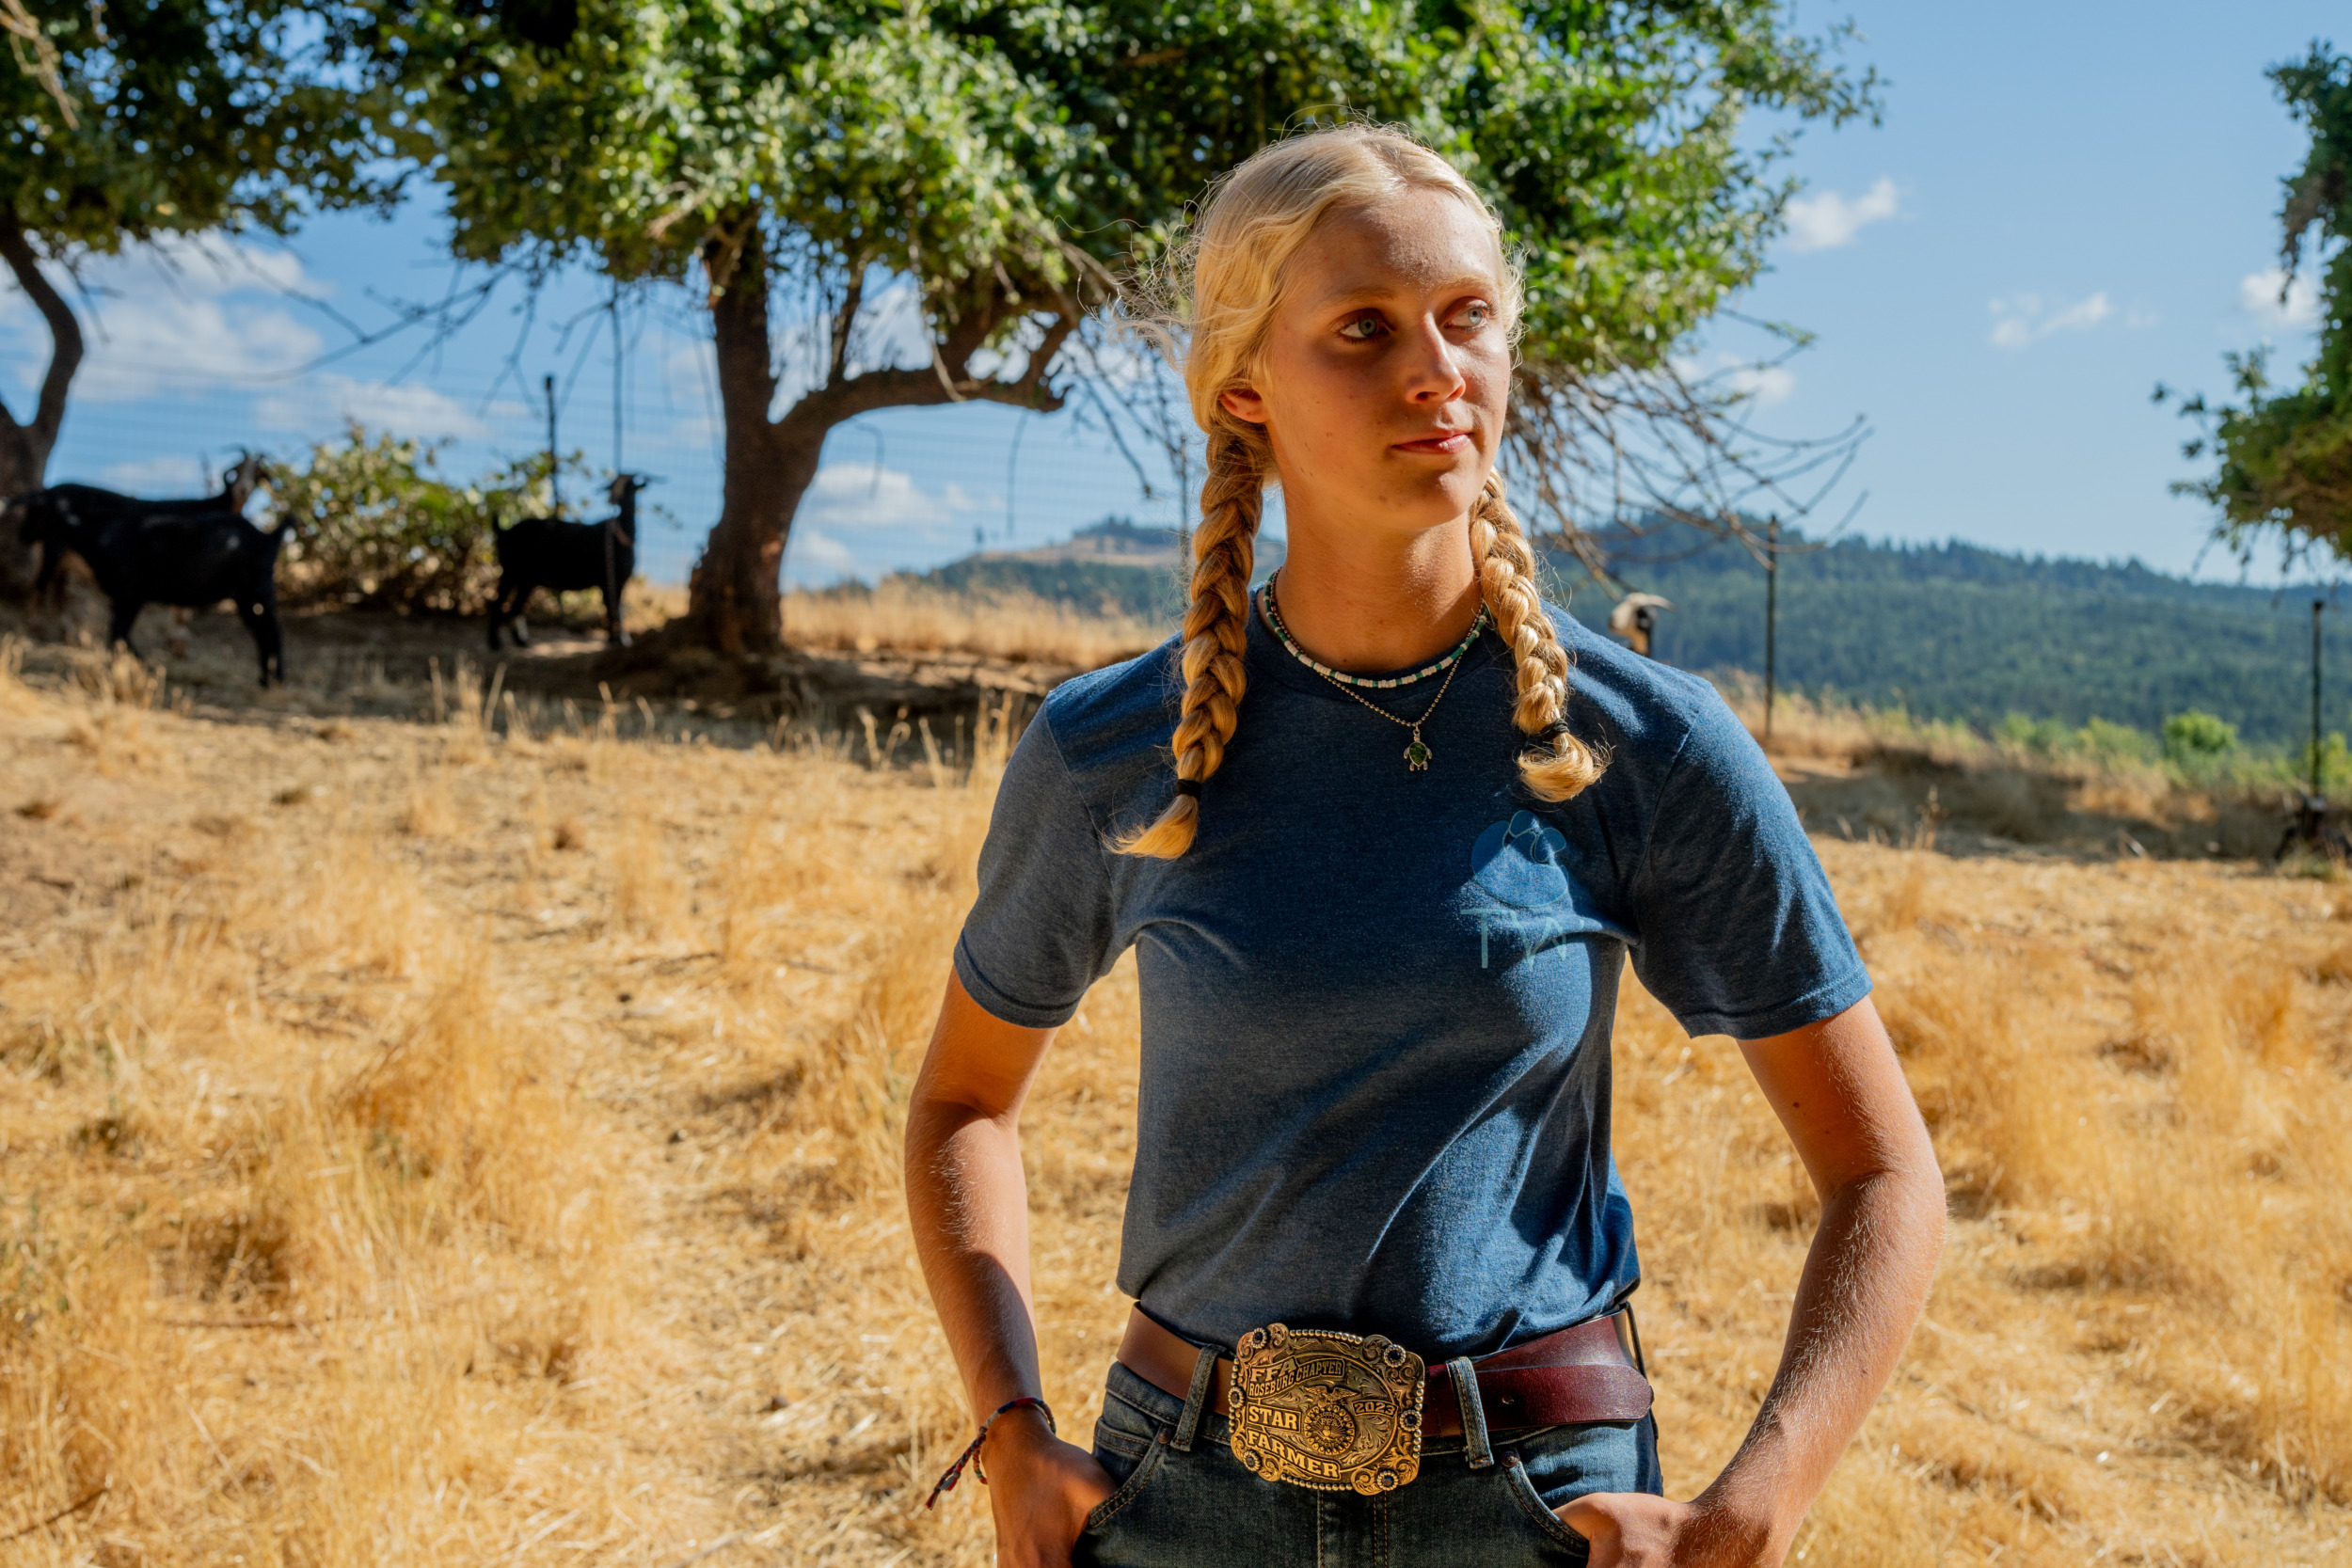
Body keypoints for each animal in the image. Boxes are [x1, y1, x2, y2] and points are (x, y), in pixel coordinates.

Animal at [17, 491, 294, 686]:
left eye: (36, 511)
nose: (21, 535)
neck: (103, 534)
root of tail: (270, 536)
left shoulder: (130, 595)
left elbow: (118, 634)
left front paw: (142, 668)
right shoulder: (123, 599)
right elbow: (118, 635)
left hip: (260, 589)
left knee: (273, 629)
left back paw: (276, 678)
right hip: (243, 596)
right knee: (260, 631)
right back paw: (265, 678)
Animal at [486, 474, 649, 653]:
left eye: (631, 487)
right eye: (612, 487)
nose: (614, 500)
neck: (619, 536)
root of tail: (504, 532)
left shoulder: (617, 583)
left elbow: (616, 609)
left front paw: (618, 640)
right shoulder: (608, 581)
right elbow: (613, 610)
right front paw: (616, 640)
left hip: (524, 579)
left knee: (514, 608)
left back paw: (520, 641)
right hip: (512, 573)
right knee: (498, 605)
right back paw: (495, 643)